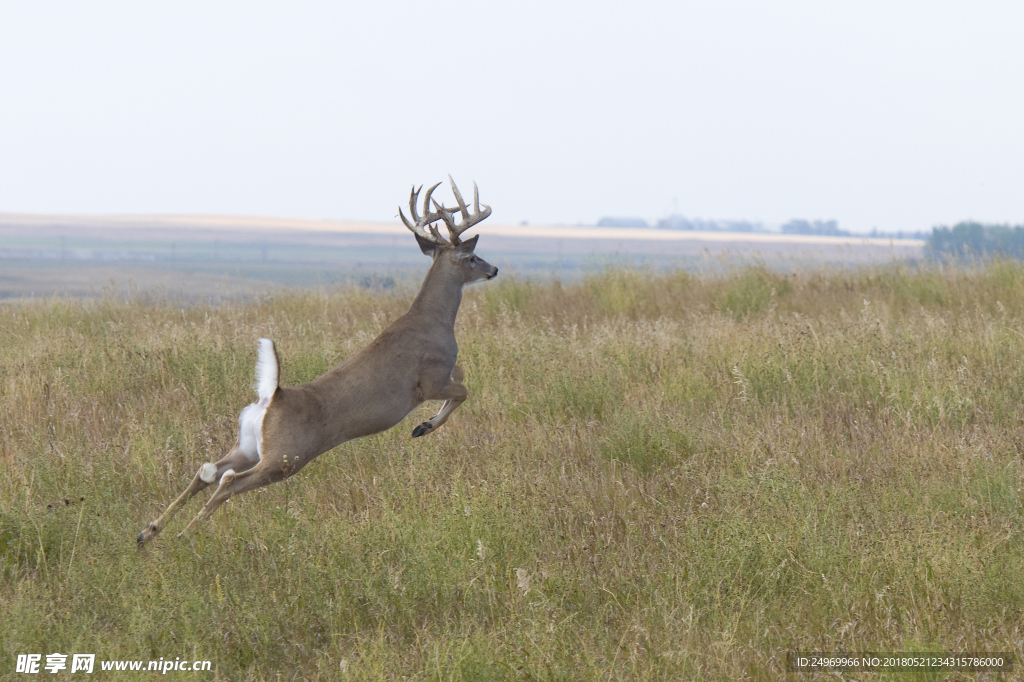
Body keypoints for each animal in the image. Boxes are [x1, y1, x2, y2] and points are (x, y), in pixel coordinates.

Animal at [138, 178, 497, 544]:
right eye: (471, 256)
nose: (494, 269)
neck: (433, 320)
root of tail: (273, 396)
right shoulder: (430, 380)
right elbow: (464, 389)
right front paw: (424, 426)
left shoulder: (441, 376)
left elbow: (462, 378)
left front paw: (424, 424)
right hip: (286, 457)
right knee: (227, 482)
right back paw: (183, 537)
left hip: (250, 446)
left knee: (205, 471)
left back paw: (148, 532)